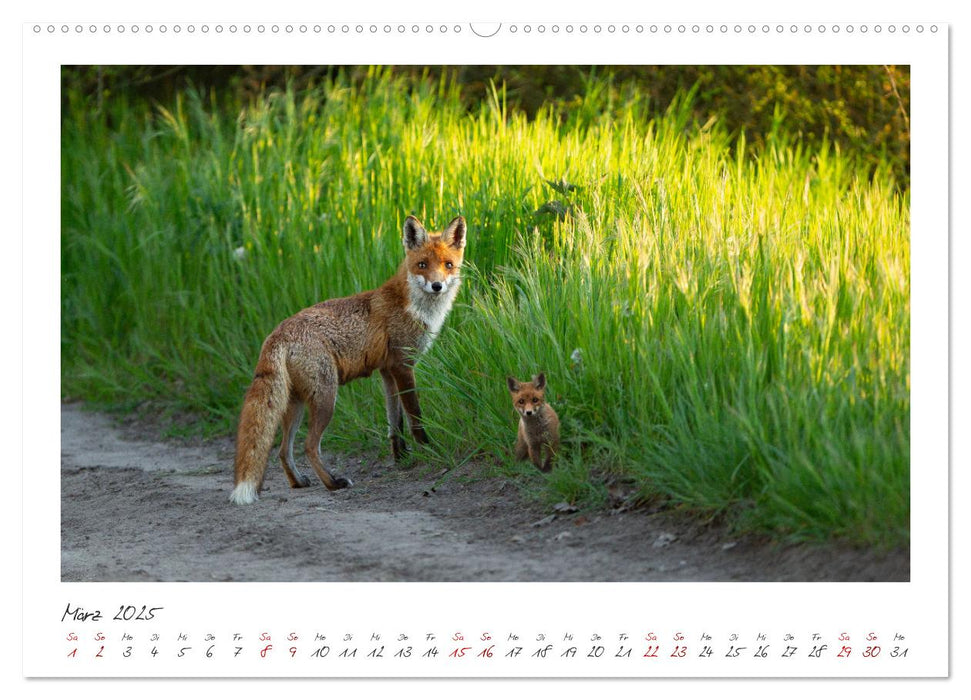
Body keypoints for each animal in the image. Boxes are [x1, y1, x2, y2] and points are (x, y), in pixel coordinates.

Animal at [232, 213, 468, 504]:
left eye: (448, 265)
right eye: (422, 265)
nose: (437, 286)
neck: (412, 307)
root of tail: (278, 333)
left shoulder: (387, 372)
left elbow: (395, 423)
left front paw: (401, 458)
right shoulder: (403, 366)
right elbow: (415, 417)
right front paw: (428, 448)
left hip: (295, 403)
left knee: (283, 450)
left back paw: (298, 482)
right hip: (325, 398)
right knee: (308, 446)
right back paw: (333, 483)